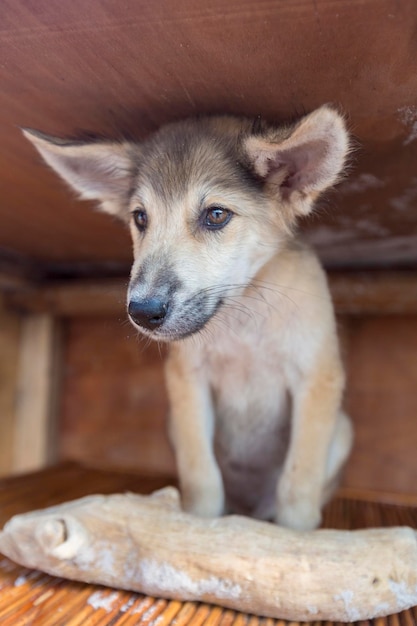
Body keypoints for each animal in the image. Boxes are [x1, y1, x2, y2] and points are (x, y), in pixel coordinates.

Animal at [24, 105, 352, 528]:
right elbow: (202, 477)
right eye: (140, 218)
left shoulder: (317, 378)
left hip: (342, 430)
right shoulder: (188, 382)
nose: (142, 312)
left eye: (216, 215)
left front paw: (293, 537)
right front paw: (198, 527)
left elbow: (298, 485)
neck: (244, 318)